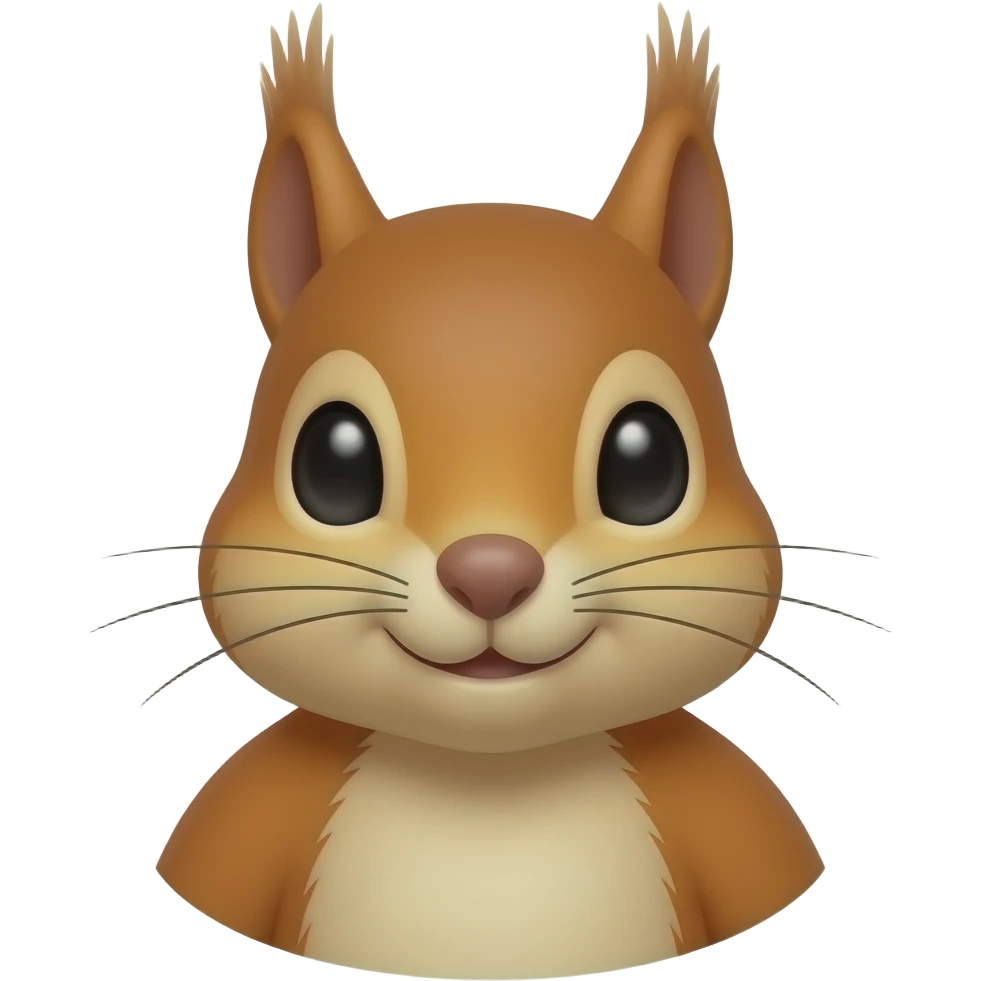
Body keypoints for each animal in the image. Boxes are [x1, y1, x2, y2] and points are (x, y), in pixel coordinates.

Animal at [137, 4, 844, 977]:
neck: (490, 784)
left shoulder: (744, 823)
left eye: (645, 463)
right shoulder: (235, 823)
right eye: (333, 463)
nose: (489, 571)